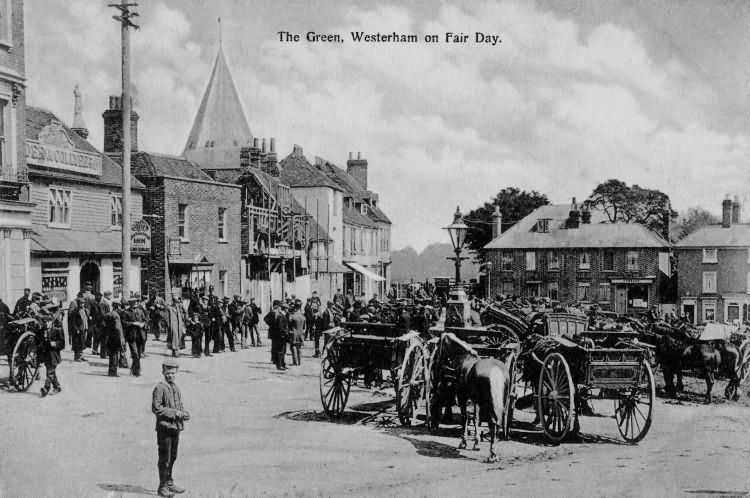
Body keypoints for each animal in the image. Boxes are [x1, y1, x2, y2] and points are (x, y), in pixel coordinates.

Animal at [440, 334, 512, 462]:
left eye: (443, 345)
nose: (441, 361)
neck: (465, 359)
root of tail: (495, 371)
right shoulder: (476, 401)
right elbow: (476, 418)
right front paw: (476, 443)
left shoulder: (462, 397)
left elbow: (465, 417)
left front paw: (463, 442)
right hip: (502, 402)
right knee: (497, 422)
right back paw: (494, 453)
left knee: (492, 422)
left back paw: (492, 455)